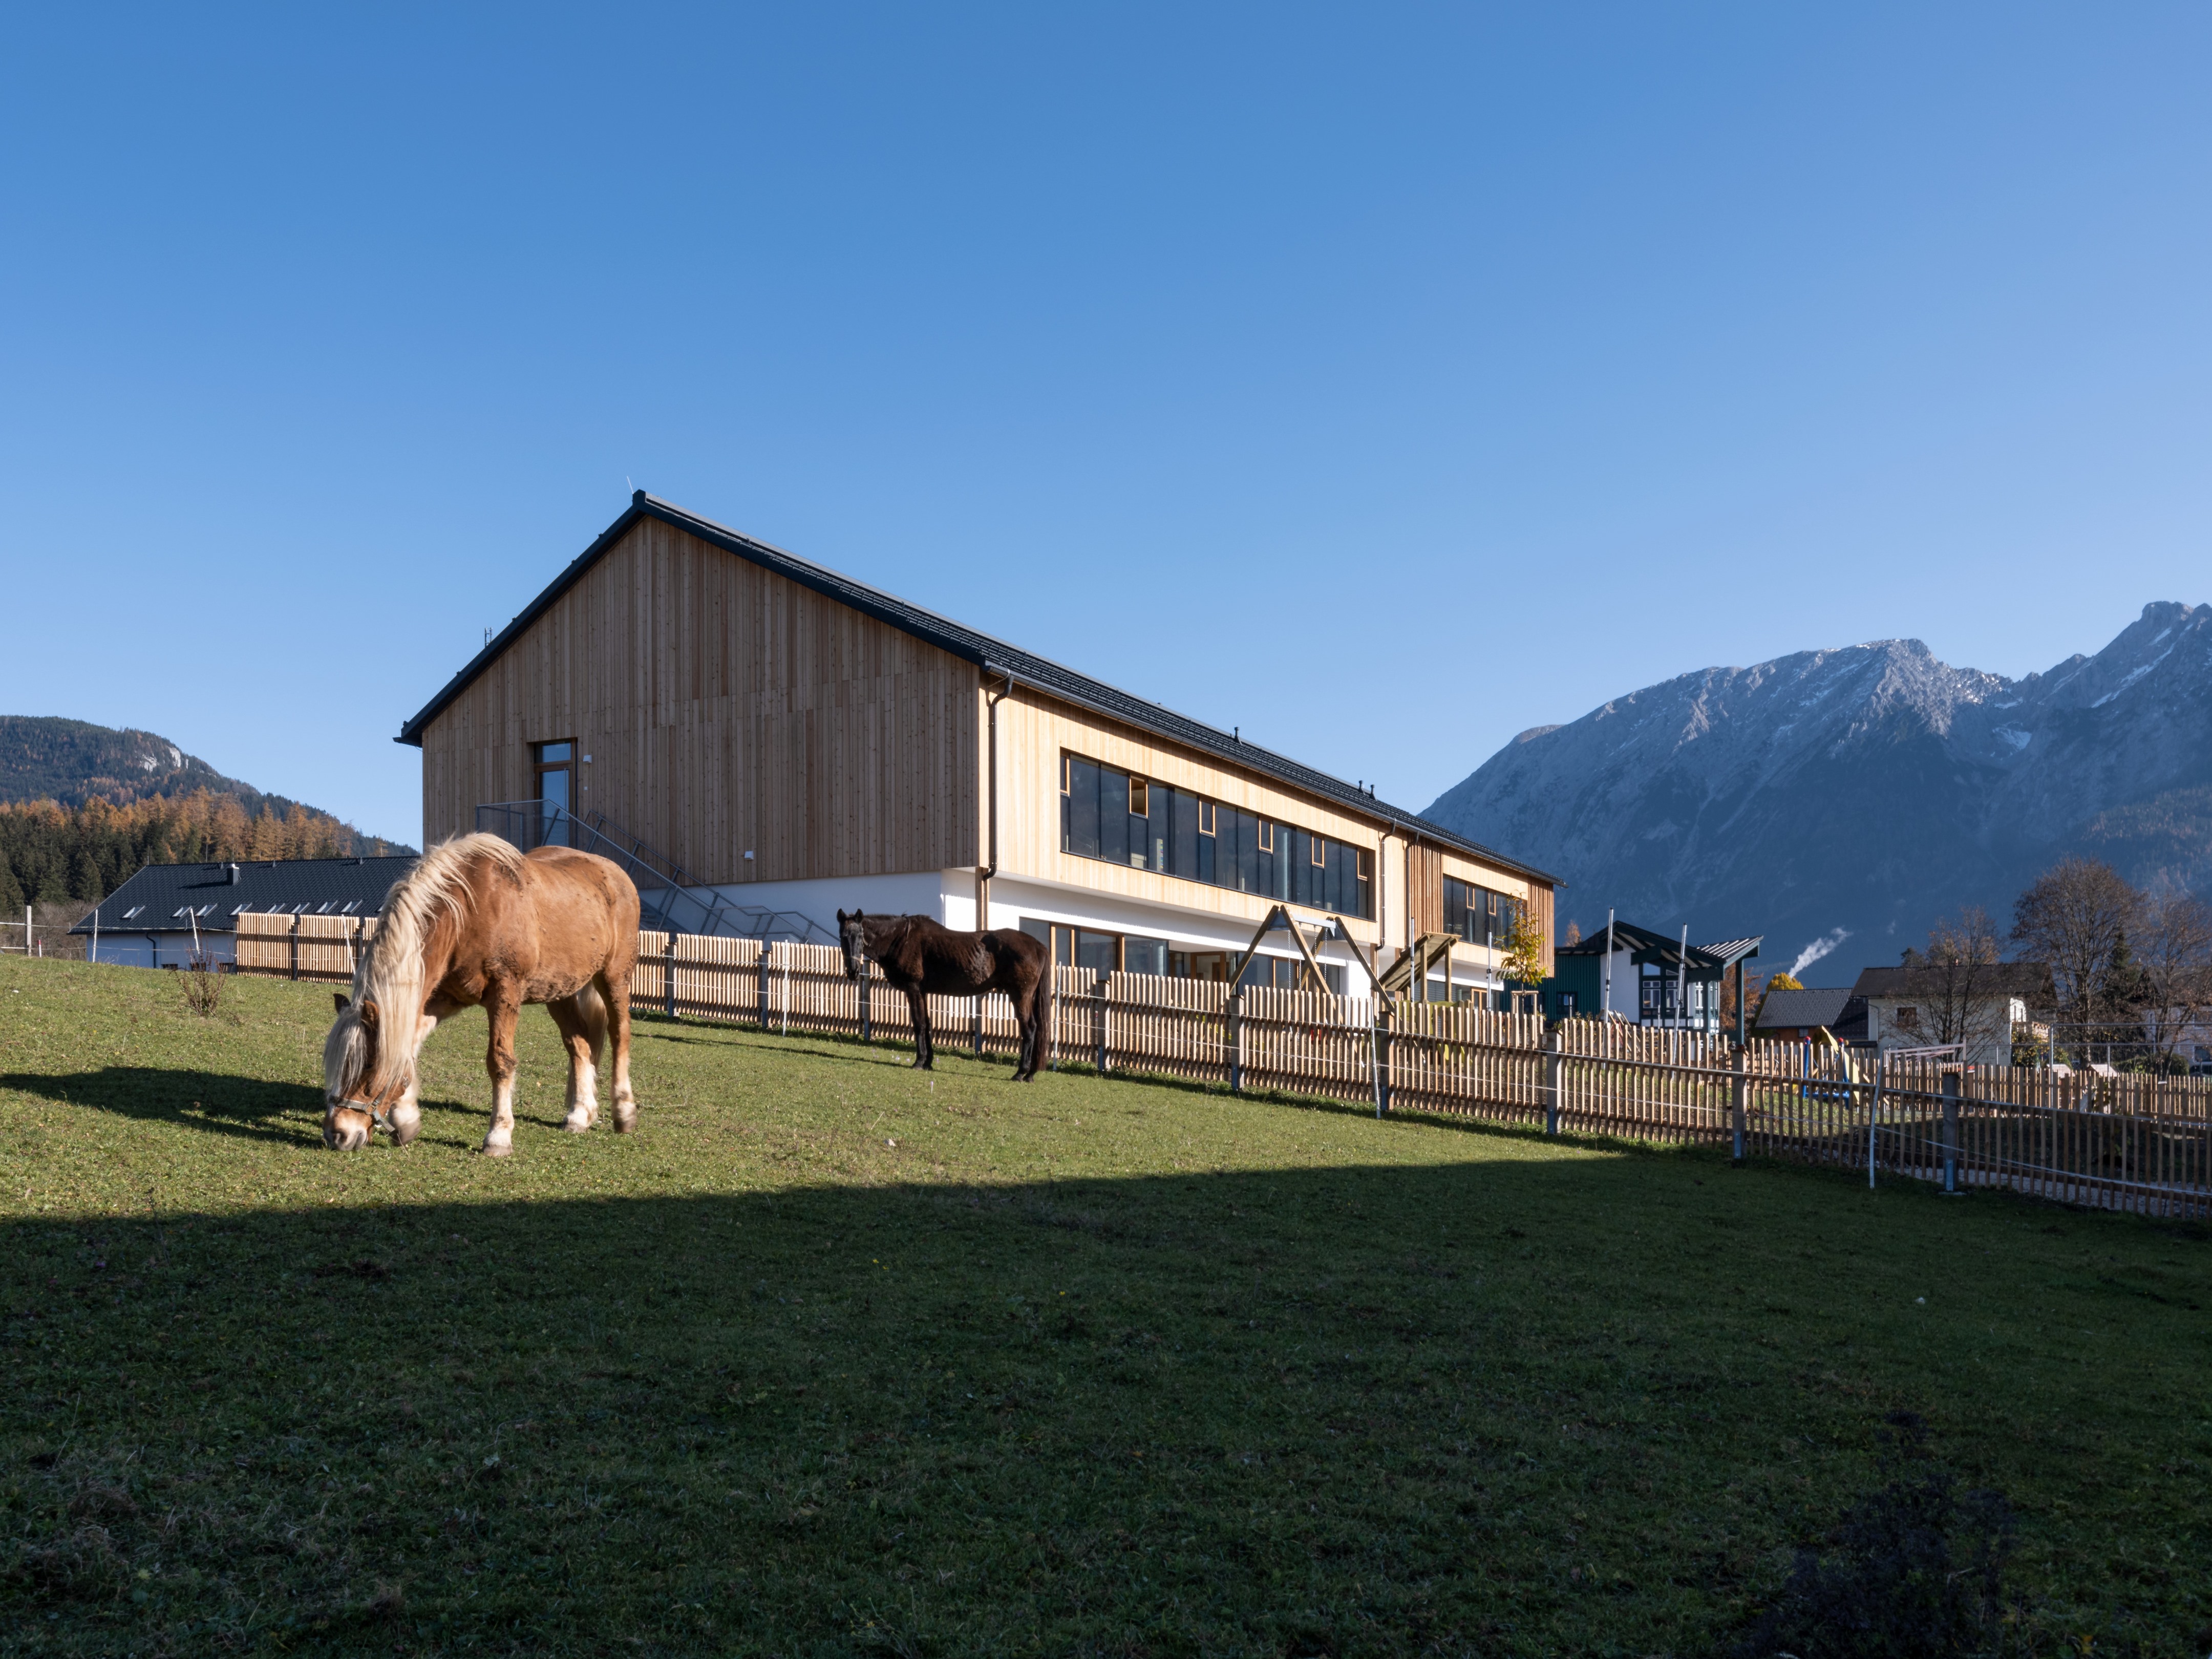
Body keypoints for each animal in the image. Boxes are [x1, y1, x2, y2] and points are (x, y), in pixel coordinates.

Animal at [323, 845, 646, 1159]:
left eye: (368, 1065)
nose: (337, 1134)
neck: (466, 914)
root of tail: (615, 873)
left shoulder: (505, 993)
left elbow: (500, 1062)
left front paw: (498, 1136)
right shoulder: (445, 999)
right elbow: (410, 1050)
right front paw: (406, 1119)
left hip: (614, 977)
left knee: (620, 1034)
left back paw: (624, 1111)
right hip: (560, 991)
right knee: (579, 1044)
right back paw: (580, 1114)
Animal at [840, 916, 1057, 1083]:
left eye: (860, 936)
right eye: (843, 937)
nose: (853, 971)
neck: (902, 939)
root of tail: (1038, 946)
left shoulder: (913, 989)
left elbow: (919, 1025)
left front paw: (919, 1062)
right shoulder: (923, 992)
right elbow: (927, 1025)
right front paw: (928, 1062)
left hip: (1020, 996)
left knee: (1029, 1029)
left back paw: (1021, 1073)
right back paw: (1030, 1074)